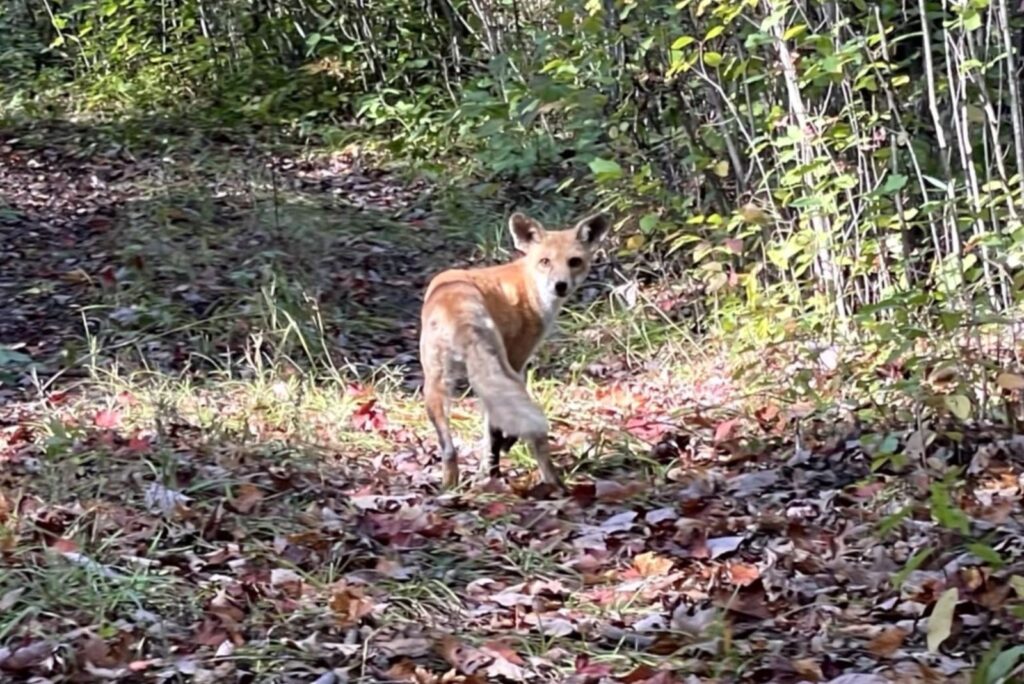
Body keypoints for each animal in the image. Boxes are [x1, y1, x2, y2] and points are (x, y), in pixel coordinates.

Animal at [419, 211, 611, 491]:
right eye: (545, 261)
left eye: (574, 261)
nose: (560, 285)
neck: (528, 285)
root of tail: (455, 305)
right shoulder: (518, 359)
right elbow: (499, 431)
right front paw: (506, 448)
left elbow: (491, 433)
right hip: (504, 373)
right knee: (533, 438)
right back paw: (555, 484)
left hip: (436, 386)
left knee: (450, 449)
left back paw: (456, 484)